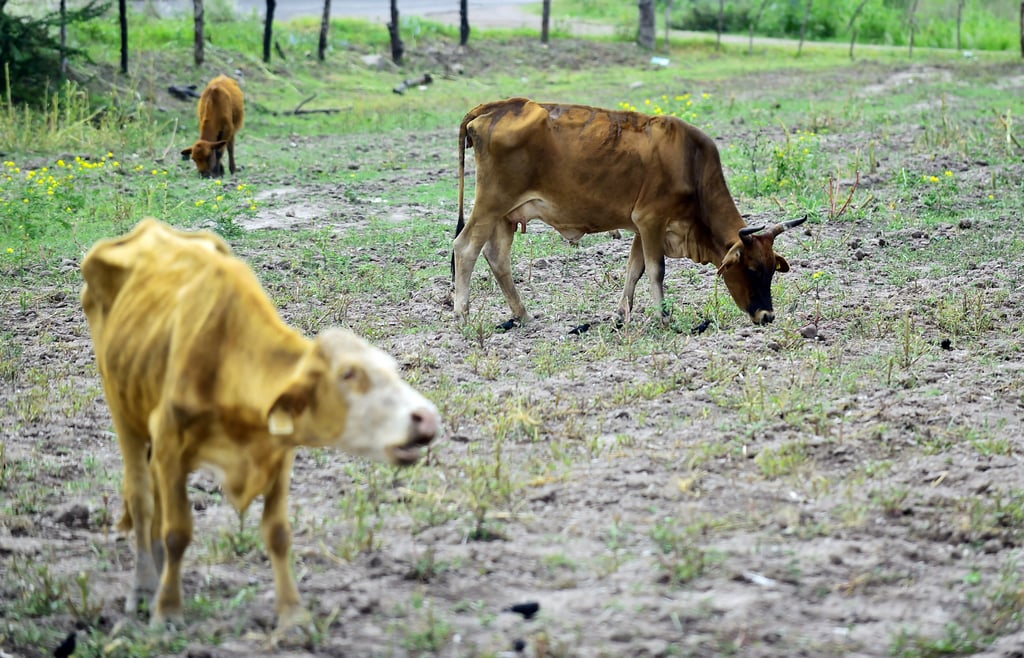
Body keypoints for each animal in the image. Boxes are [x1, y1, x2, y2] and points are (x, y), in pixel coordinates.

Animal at [76, 218, 436, 630]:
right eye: (349, 374)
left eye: (392, 368)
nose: (427, 417)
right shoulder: (169, 442)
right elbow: (178, 531)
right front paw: (167, 609)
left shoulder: (277, 450)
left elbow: (277, 533)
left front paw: (292, 614)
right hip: (122, 408)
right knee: (142, 497)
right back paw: (143, 587)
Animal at [452, 97, 802, 327]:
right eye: (752, 269)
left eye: (772, 270)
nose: (767, 315)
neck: (691, 164)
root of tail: (498, 106)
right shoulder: (651, 220)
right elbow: (656, 270)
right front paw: (663, 317)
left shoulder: (641, 227)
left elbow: (635, 269)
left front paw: (621, 315)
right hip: (491, 203)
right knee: (465, 247)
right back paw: (462, 314)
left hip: (506, 216)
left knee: (497, 258)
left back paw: (523, 315)